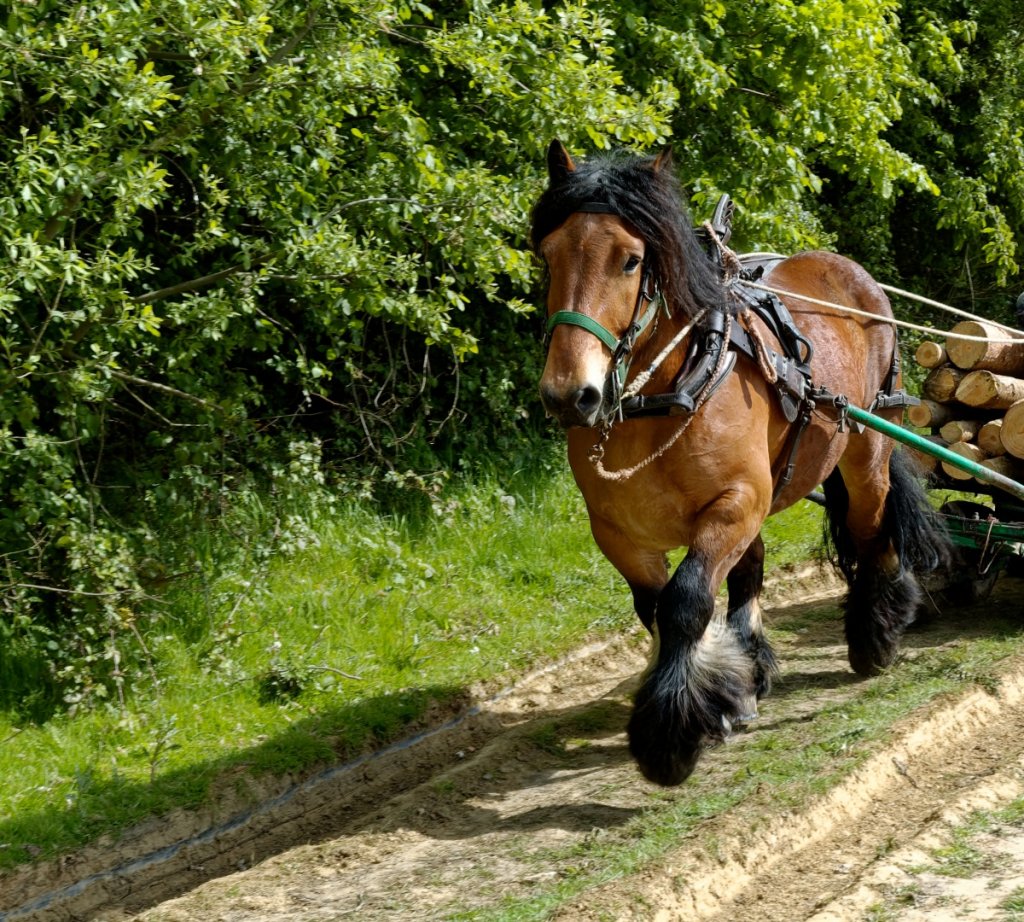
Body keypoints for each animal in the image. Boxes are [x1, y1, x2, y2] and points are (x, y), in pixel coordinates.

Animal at [532, 140, 950, 786]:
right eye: (550, 256)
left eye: (630, 261)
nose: (569, 395)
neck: (665, 394)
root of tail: (848, 268)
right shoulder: (619, 533)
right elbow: (657, 607)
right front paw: (723, 695)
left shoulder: (736, 501)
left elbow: (684, 601)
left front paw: (669, 738)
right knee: (751, 569)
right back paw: (754, 669)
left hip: (865, 448)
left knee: (872, 527)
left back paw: (876, 633)